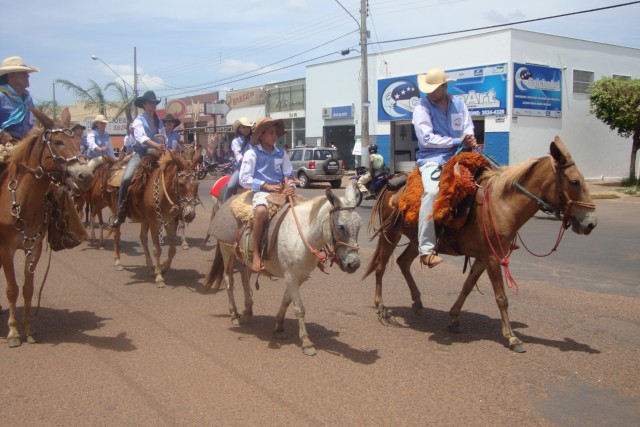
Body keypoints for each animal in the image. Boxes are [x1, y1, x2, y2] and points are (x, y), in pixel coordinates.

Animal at [0, 113, 94, 348]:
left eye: (78, 140)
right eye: (58, 142)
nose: (86, 176)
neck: (22, 201)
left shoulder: (34, 247)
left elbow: (28, 289)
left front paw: (29, 329)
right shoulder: (5, 249)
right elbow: (12, 289)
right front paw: (13, 332)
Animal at [110, 150, 200, 288]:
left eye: (197, 184)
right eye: (181, 184)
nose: (190, 215)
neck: (164, 191)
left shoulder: (170, 221)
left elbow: (172, 250)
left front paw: (163, 268)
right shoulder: (154, 222)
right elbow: (157, 249)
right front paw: (159, 277)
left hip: (144, 220)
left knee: (142, 238)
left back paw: (149, 266)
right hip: (118, 213)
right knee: (117, 235)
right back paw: (118, 262)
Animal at [204, 182, 360, 356]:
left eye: (359, 226)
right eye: (341, 227)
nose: (354, 264)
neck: (301, 235)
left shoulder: (299, 277)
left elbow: (286, 300)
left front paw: (279, 327)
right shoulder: (291, 275)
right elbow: (299, 308)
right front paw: (306, 342)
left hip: (246, 260)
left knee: (244, 278)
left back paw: (248, 311)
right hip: (227, 251)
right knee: (228, 281)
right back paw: (234, 314)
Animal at [362, 139, 596, 352]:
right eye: (574, 181)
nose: (591, 223)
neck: (502, 205)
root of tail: (391, 183)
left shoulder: (484, 257)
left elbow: (467, 287)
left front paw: (454, 318)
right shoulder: (493, 257)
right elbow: (501, 297)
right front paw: (511, 338)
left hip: (417, 239)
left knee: (403, 262)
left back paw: (418, 302)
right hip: (390, 234)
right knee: (381, 266)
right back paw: (381, 306)